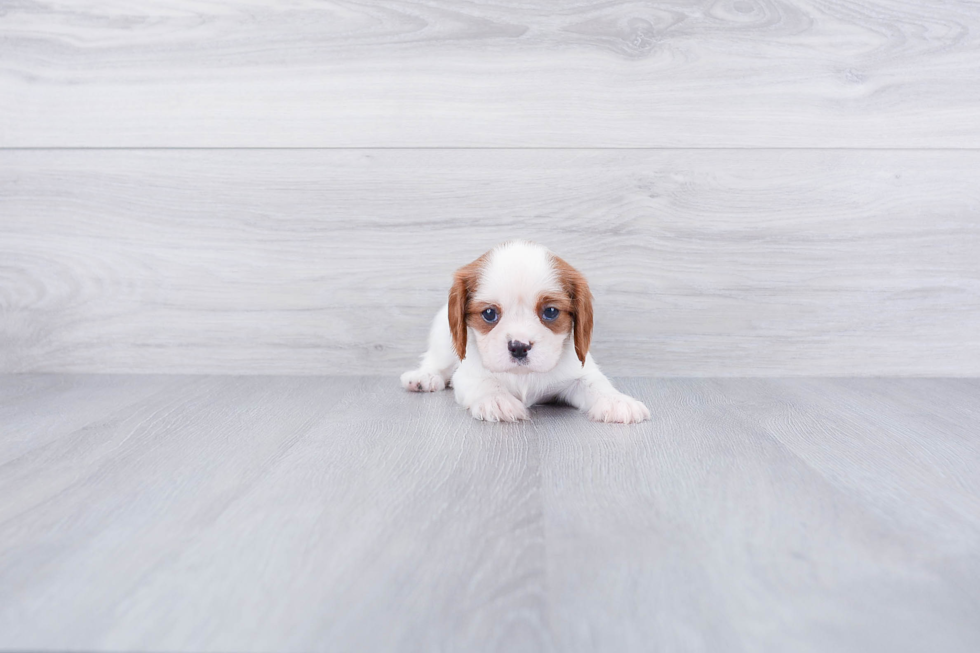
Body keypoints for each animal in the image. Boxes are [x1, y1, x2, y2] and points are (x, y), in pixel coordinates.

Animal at [398, 239, 652, 422]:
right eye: (489, 314)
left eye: (550, 311)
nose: (519, 347)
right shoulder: (468, 375)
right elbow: (486, 383)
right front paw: (497, 400)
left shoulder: (580, 374)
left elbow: (596, 384)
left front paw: (617, 401)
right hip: (442, 338)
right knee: (436, 363)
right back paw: (423, 377)